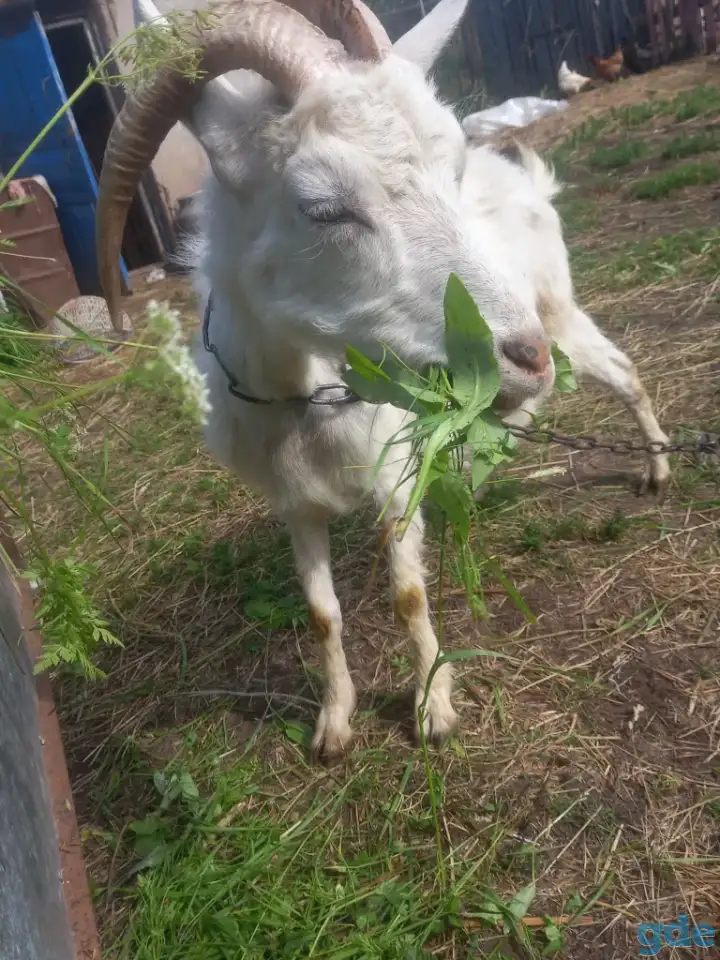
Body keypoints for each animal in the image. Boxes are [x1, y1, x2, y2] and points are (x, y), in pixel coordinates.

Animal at [96, 0, 670, 760]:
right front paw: (334, 722)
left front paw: (433, 708)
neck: (305, 397)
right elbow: (321, 614)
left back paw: (657, 469)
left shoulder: (395, 477)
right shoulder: (294, 505)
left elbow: (408, 598)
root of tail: (525, 178)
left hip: (558, 310)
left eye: (450, 166)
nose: (522, 356)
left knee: (624, 371)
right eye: (323, 206)